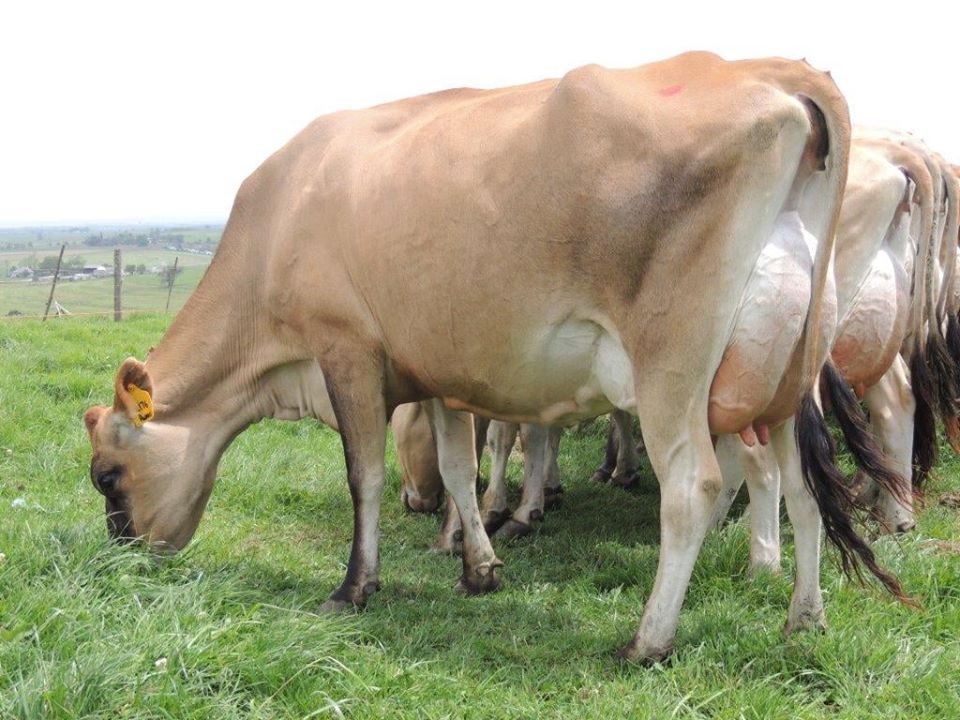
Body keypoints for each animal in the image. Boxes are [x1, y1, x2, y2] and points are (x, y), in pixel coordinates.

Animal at [82, 52, 896, 660]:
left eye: (107, 476)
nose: (124, 555)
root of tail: (773, 71)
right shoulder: (436, 371)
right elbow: (455, 469)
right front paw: (479, 567)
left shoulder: (346, 350)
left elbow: (364, 476)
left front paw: (355, 586)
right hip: (783, 383)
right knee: (802, 487)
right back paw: (805, 618)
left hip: (672, 367)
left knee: (695, 486)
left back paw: (649, 639)